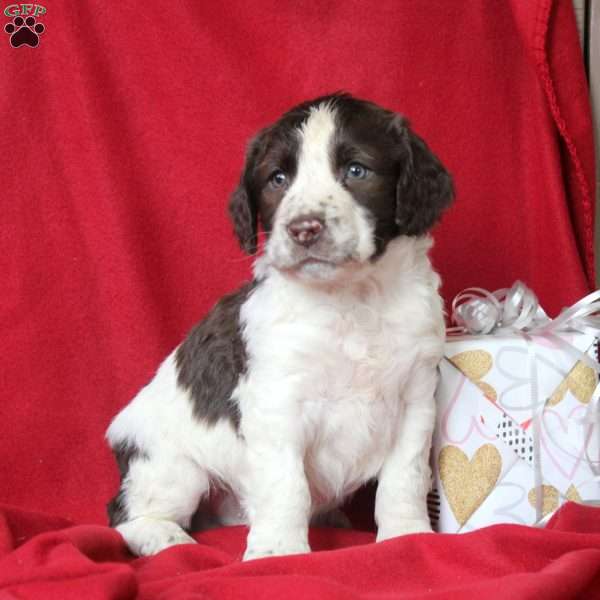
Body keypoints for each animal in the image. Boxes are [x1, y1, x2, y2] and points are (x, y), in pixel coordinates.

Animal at [106, 92, 454, 556]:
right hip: (170, 465)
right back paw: (163, 536)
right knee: (124, 513)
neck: (352, 299)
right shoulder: (277, 401)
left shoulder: (416, 395)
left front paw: (406, 534)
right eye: (277, 179)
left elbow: (405, 475)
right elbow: (286, 483)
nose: (304, 228)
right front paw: (278, 550)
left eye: (356, 170)